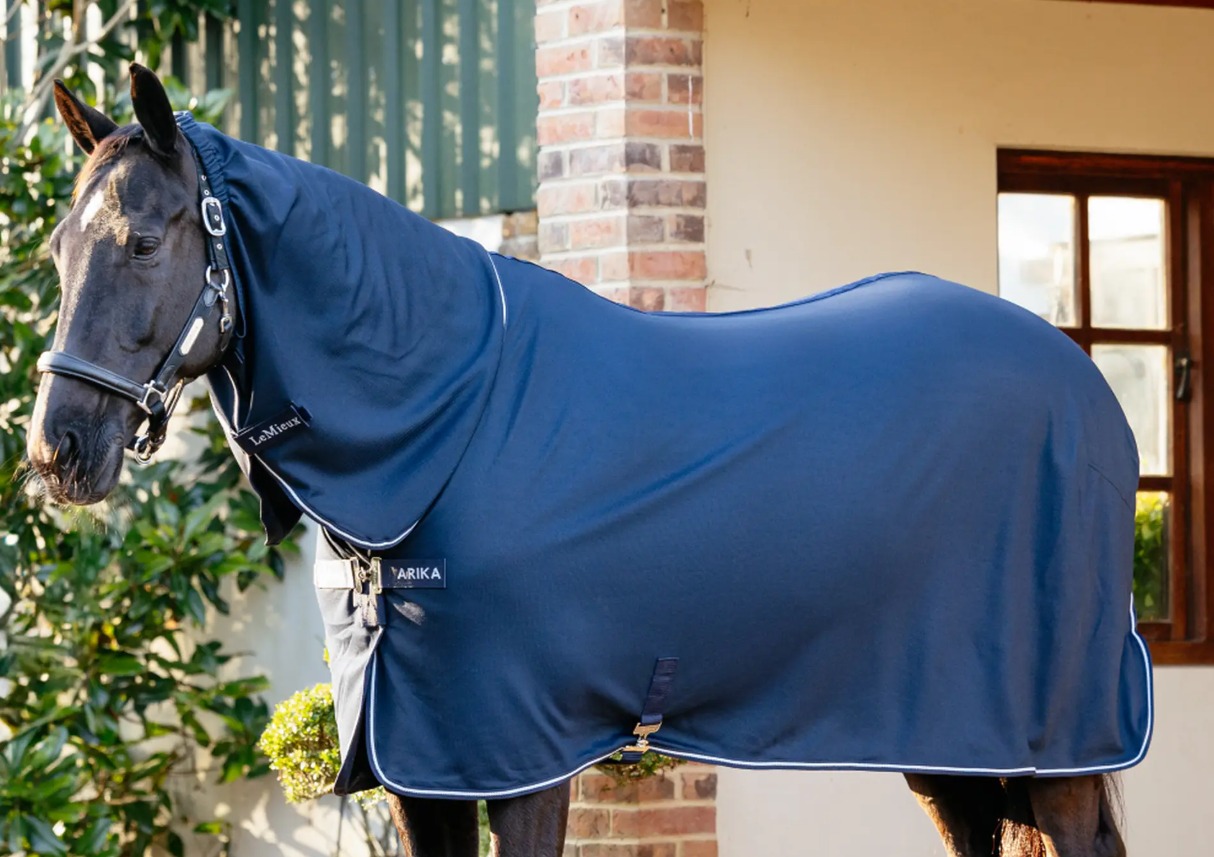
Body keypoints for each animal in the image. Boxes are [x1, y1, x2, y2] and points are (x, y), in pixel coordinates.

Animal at [26, 64, 1146, 857]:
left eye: (140, 241)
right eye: (54, 249)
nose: (55, 450)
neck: (448, 426)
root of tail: (1085, 385)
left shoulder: (516, 756)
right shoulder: (418, 768)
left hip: (1053, 744)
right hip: (947, 740)